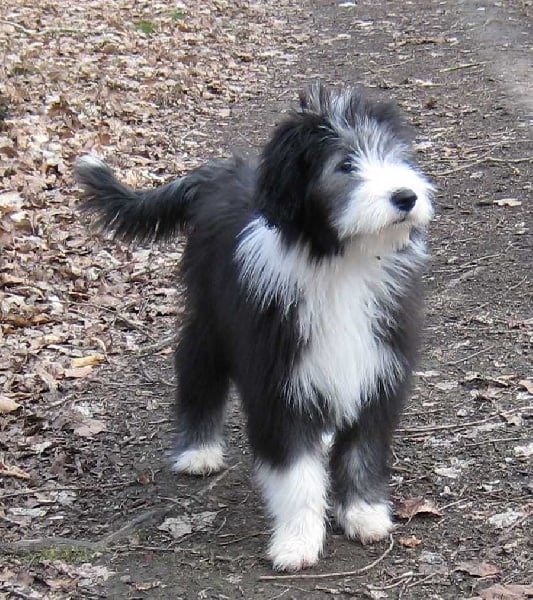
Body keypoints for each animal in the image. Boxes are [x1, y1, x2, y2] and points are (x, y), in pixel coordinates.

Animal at [74, 84, 432, 572]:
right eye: (345, 164)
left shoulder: (378, 366)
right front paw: (298, 541)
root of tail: (220, 175)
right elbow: (296, 473)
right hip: (209, 319)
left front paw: (364, 514)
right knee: (197, 372)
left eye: (395, 155)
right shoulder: (277, 378)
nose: (406, 196)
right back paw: (198, 450)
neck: (338, 263)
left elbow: (364, 448)